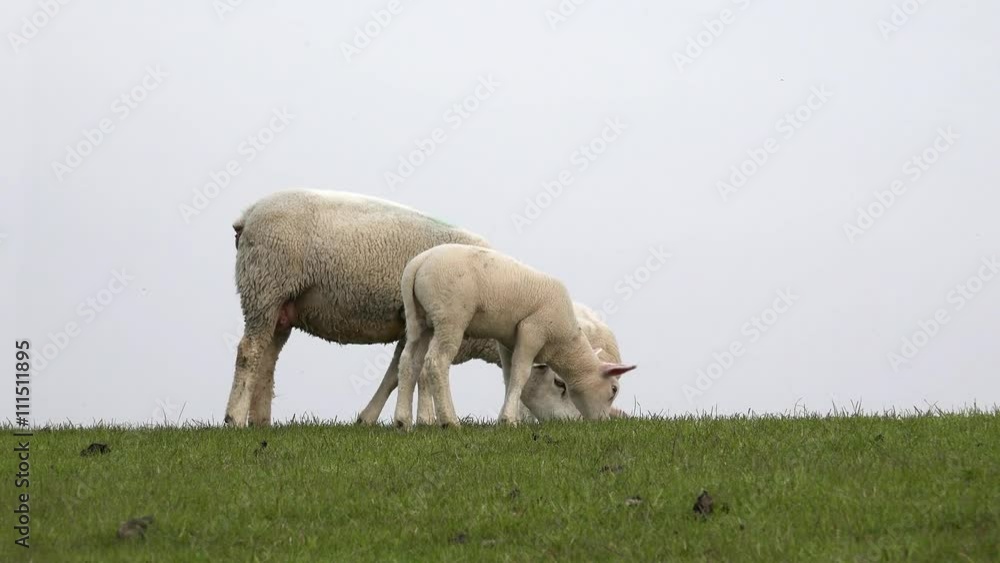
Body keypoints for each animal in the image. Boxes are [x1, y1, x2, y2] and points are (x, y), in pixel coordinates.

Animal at [392, 243, 637, 429]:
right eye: (613, 390)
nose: (603, 422)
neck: (565, 342)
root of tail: (418, 263)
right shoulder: (533, 329)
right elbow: (521, 373)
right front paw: (509, 420)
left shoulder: (507, 341)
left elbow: (509, 376)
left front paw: (507, 417)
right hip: (450, 317)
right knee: (436, 362)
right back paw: (449, 421)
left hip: (418, 320)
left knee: (408, 362)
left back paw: (402, 421)